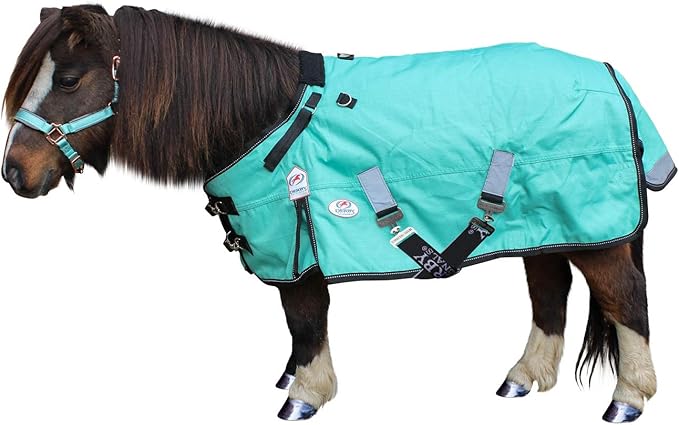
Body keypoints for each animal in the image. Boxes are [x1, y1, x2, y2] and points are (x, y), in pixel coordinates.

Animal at [2, 5, 674, 423]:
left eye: (67, 79)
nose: (14, 173)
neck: (263, 118)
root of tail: (611, 75)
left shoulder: (298, 241)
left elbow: (305, 320)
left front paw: (304, 394)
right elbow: (300, 328)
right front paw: (294, 378)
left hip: (594, 234)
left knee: (625, 298)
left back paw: (629, 399)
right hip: (542, 224)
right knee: (549, 292)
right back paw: (524, 377)